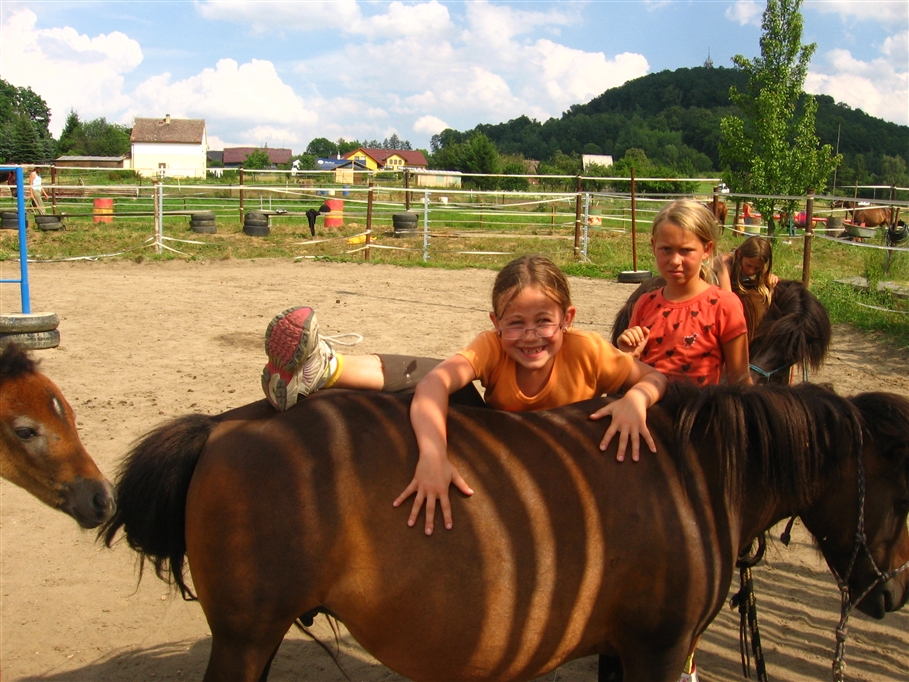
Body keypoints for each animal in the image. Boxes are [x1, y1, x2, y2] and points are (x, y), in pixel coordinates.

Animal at [101, 382, 908, 680]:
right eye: (905, 495)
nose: (893, 596)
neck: (693, 470)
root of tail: (224, 425)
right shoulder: (657, 648)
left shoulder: (622, 647)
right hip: (245, 636)